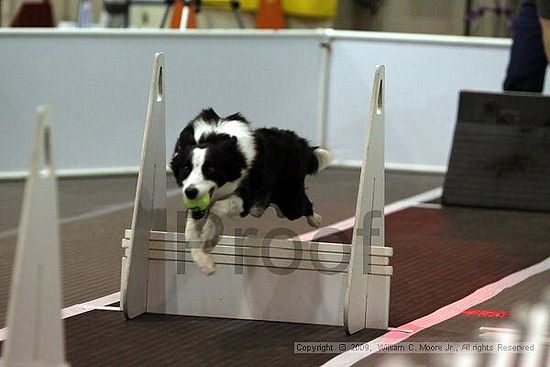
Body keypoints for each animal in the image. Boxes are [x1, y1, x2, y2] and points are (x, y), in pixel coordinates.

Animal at [170, 108, 332, 274]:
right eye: (185, 168)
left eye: (210, 169)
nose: (190, 192)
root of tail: (298, 142)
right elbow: (190, 232)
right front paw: (204, 262)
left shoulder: (245, 198)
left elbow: (216, 208)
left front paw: (209, 238)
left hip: (290, 202)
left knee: (304, 205)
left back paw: (316, 219)